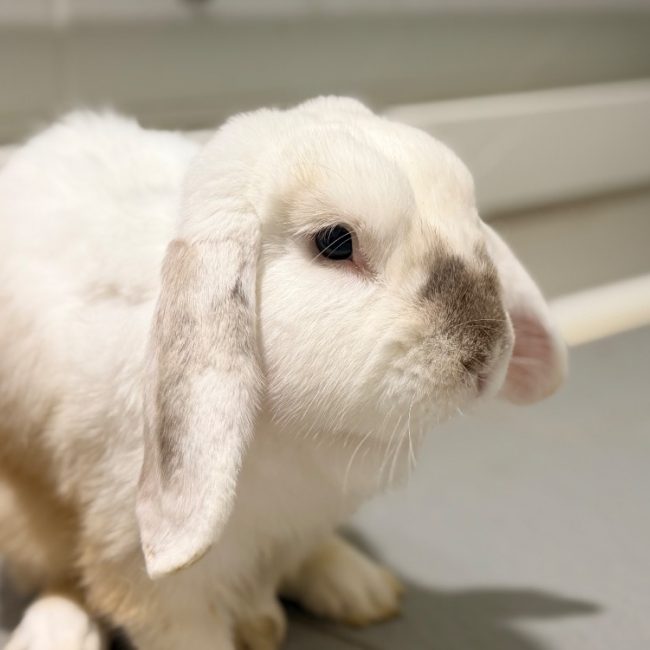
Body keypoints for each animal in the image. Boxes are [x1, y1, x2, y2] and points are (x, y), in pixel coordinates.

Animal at [0, 96, 567, 650]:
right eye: (335, 242)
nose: (487, 353)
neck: (294, 434)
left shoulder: (300, 521)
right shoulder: (150, 575)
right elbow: (182, 628)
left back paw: (358, 589)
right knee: (58, 575)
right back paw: (56, 633)